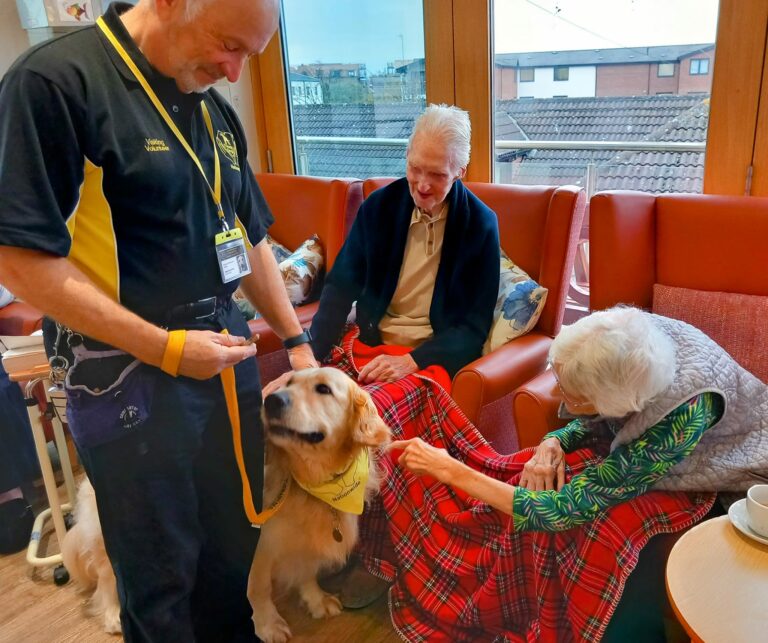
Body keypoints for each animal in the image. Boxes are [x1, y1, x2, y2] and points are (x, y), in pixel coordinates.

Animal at [250, 368, 390, 643]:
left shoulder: (311, 541)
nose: (271, 400)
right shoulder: (260, 547)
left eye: (323, 389)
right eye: (288, 383)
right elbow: (260, 587)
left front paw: (316, 600)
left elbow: (307, 571)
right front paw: (268, 623)